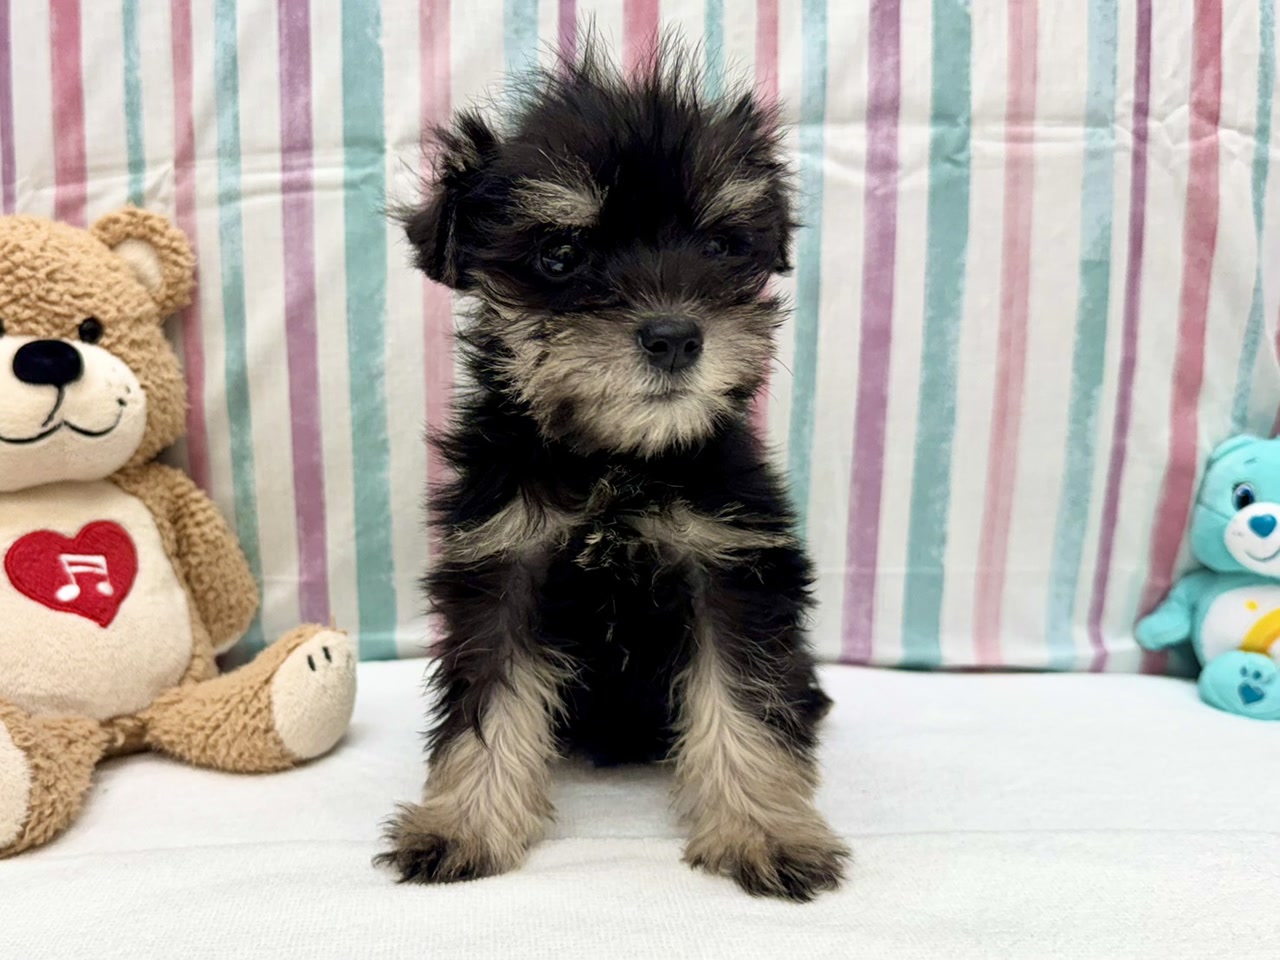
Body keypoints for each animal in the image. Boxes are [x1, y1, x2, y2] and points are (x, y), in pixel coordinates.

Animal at [376, 40, 848, 902]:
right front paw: (465, 822)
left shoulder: (729, 568)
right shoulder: (503, 566)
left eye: (721, 246)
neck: (617, 462)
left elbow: (744, 697)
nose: (675, 337)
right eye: (562, 255)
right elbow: (487, 703)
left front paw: (765, 830)